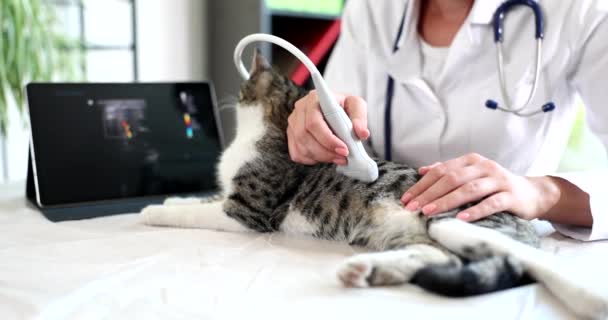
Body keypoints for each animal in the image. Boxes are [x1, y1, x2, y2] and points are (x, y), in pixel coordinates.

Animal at [142, 51, 608, 318]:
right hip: (417, 234)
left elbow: (199, 212)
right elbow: (203, 197)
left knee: (517, 259)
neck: (261, 132)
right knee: (438, 258)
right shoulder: (231, 196)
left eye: (245, 84)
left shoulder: (248, 210)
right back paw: (367, 270)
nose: (232, 90)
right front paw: (174, 195)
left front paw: (155, 209)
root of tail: (526, 226)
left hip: (450, 218)